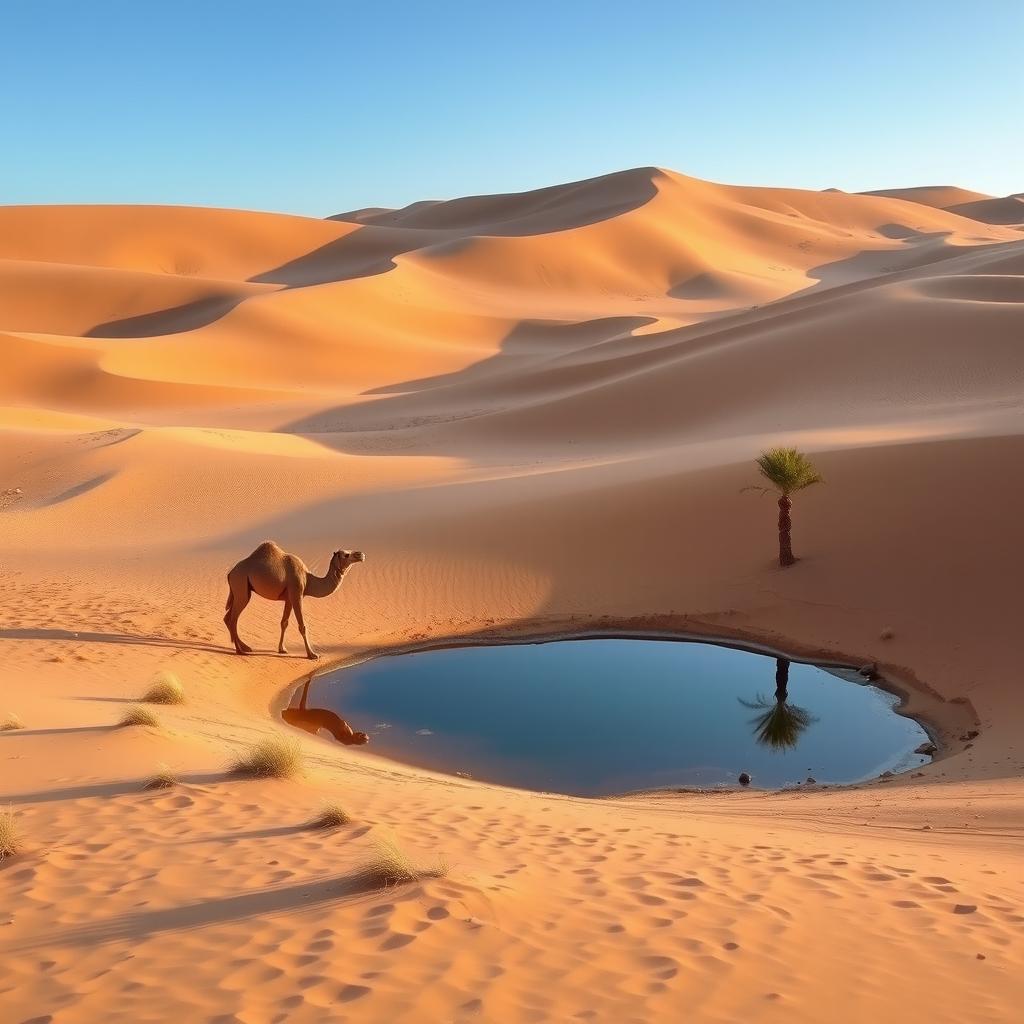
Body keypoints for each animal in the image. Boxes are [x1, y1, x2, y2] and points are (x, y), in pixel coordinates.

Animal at [223, 540, 364, 659]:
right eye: (346, 555)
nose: (361, 554)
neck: (308, 580)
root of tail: (230, 573)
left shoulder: (289, 599)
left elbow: (284, 622)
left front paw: (282, 649)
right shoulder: (297, 595)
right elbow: (302, 626)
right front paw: (312, 654)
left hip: (241, 590)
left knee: (228, 617)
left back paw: (245, 647)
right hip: (241, 584)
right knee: (233, 619)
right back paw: (240, 651)